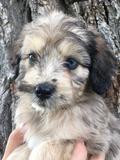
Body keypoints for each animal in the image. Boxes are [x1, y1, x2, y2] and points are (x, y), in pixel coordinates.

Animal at [7, 10, 120, 159]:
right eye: (32, 57)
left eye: (71, 62)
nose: (42, 90)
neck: (51, 115)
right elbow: (21, 149)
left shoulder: (91, 140)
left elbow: (46, 148)